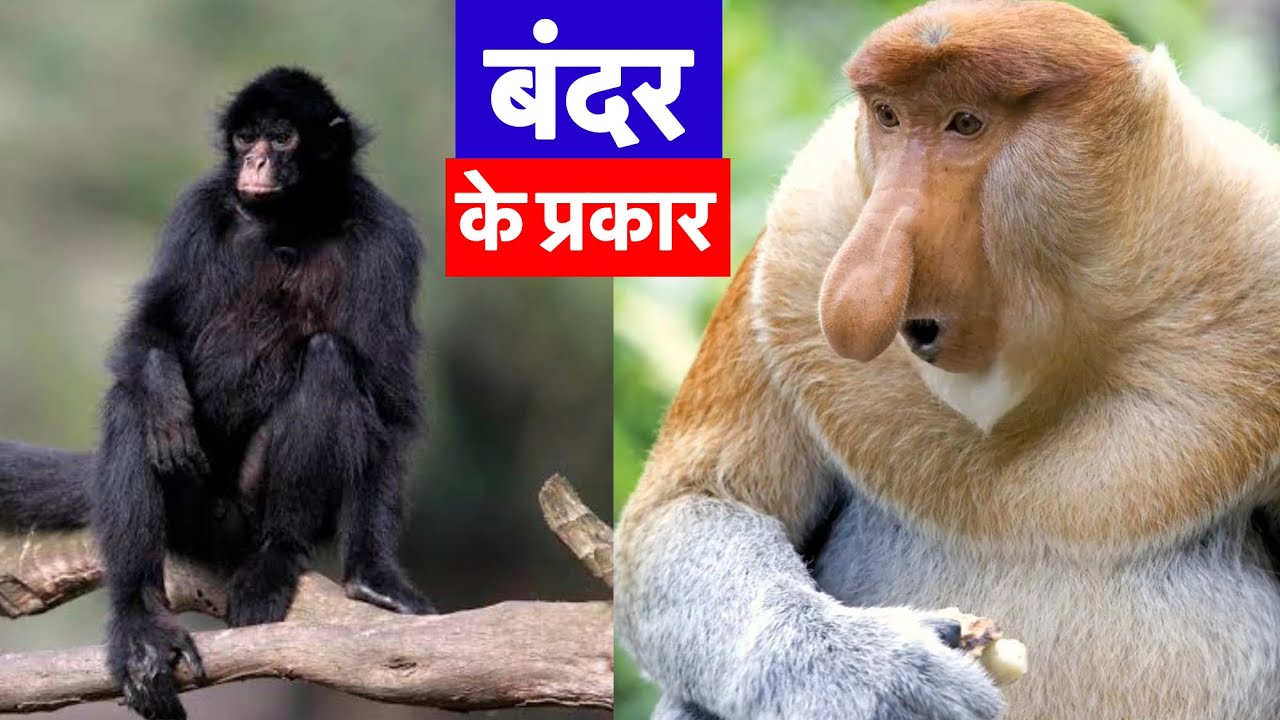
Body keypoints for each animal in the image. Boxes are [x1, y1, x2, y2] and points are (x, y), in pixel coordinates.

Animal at [0, 67, 432, 720]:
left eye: (281, 137)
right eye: (245, 137)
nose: (255, 160)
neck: (290, 225)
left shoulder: (388, 238)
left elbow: (389, 399)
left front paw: (374, 575)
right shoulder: (198, 209)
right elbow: (150, 330)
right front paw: (164, 392)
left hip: (246, 509)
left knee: (329, 359)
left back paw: (275, 555)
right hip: (195, 513)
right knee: (131, 402)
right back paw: (140, 624)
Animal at [615, 2, 1280, 719]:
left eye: (965, 123)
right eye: (888, 117)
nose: (855, 292)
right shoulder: (803, 237)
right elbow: (688, 510)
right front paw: (879, 677)